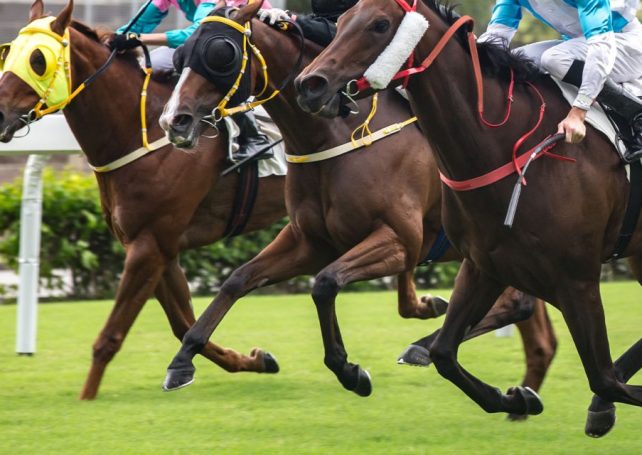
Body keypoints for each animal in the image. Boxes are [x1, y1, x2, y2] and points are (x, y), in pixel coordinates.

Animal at [0, 0, 286, 400]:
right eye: (9, 53)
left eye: (38, 60)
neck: (144, 130)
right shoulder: (158, 245)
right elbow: (184, 323)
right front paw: (255, 360)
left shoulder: (149, 244)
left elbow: (111, 335)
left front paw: (86, 398)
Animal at [159, 1, 557, 418]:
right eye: (182, 53)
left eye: (222, 53)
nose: (174, 120)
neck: (333, 138)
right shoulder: (310, 241)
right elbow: (238, 279)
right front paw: (182, 360)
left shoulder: (399, 242)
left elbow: (325, 284)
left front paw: (350, 370)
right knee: (517, 304)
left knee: (516, 304)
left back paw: (428, 348)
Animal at [296, 0, 642, 436]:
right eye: (341, 22)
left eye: (380, 24)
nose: (309, 84)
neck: (512, 149)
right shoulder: (484, 266)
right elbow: (445, 353)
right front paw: (518, 397)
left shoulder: (576, 280)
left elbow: (604, 378)